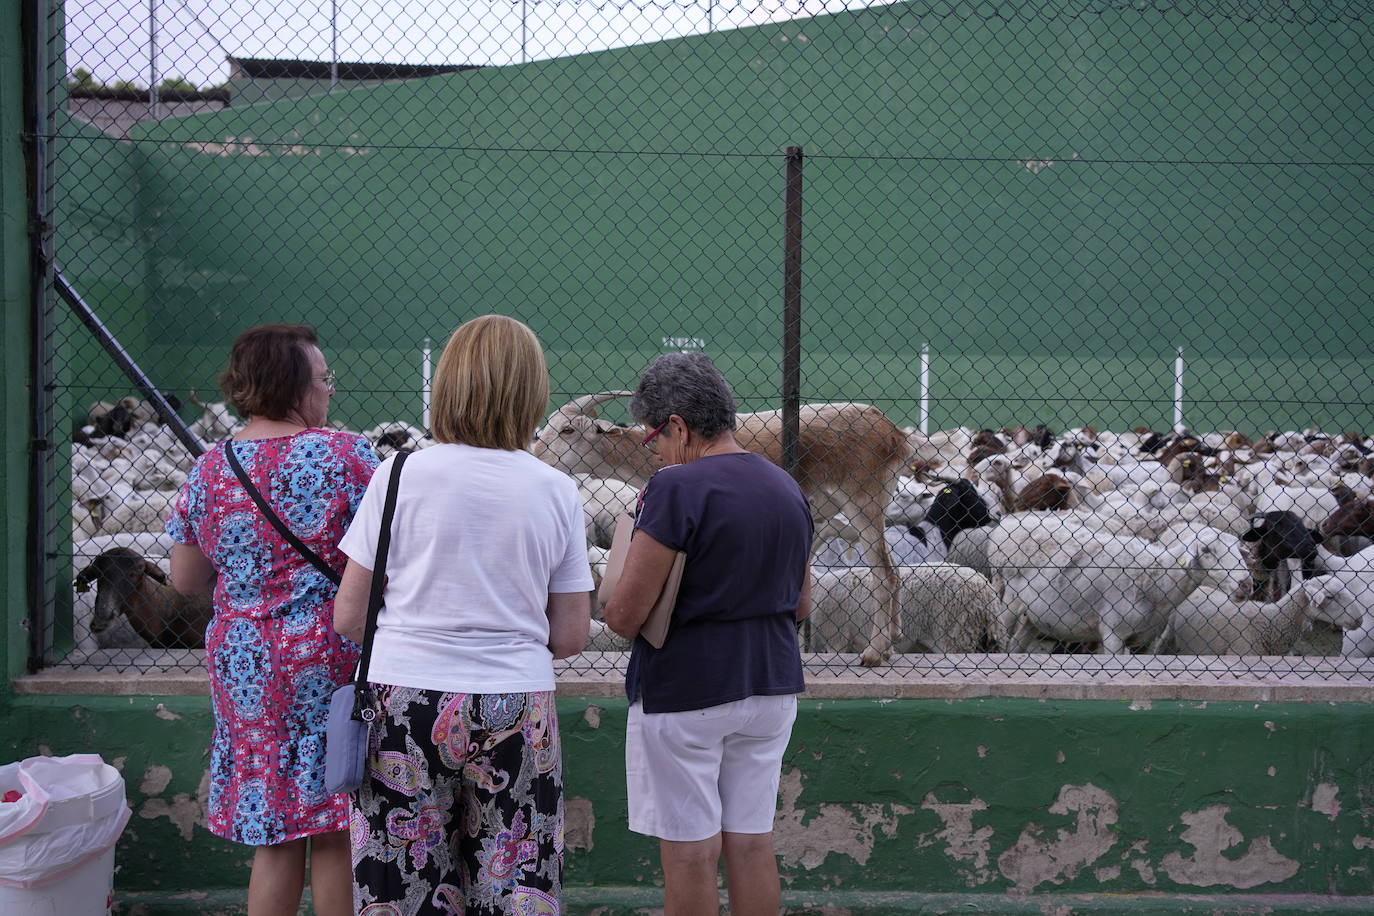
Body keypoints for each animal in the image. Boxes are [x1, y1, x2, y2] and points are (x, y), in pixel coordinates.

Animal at [535, 395, 912, 667]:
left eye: (568, 430)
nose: (537, 453)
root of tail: (894, 434)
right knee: (891, 568)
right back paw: (891, 642)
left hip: (863, 501)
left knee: (885, 573)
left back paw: (874, 652)